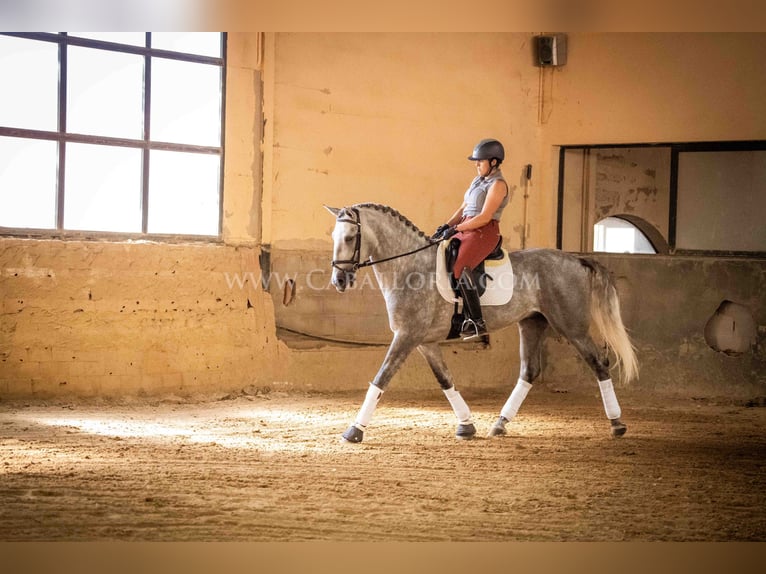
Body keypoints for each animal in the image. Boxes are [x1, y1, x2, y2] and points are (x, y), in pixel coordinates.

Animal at [328, 204, 640, 446]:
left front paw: (354, 430)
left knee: (598, 363)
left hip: (571, 326)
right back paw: (500, 424)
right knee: (529, 371)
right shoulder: (425, 342)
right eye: (334, 236)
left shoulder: (407, 336)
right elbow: (445, 380)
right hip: (532, 323)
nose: (339, 281)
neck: (410, 268)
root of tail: (576, 259)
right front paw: (466, 425)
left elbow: (381, 378)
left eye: (351, 237)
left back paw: (617, 424)